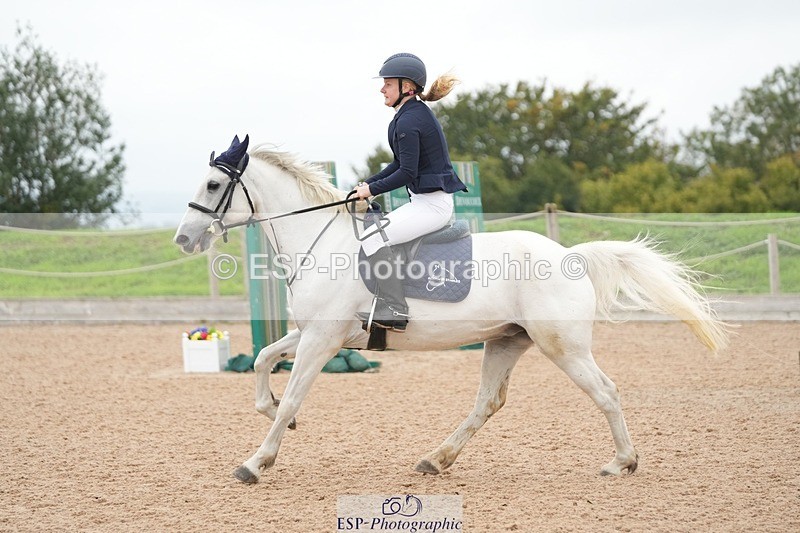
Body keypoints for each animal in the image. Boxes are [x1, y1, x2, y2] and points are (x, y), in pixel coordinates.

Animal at [174, 136, 729, 484]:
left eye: (212, 186)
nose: (183, 239)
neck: (319, 240)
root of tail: (570, 255)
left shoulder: (322, 340)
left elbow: (292, 396)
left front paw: (256, 461)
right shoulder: (317, 334)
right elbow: (264, 358)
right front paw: (272, 416)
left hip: (563, 347)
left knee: (606, 392)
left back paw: (622, 463)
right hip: (505, 341)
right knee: (487, 403)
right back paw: (436, 460)